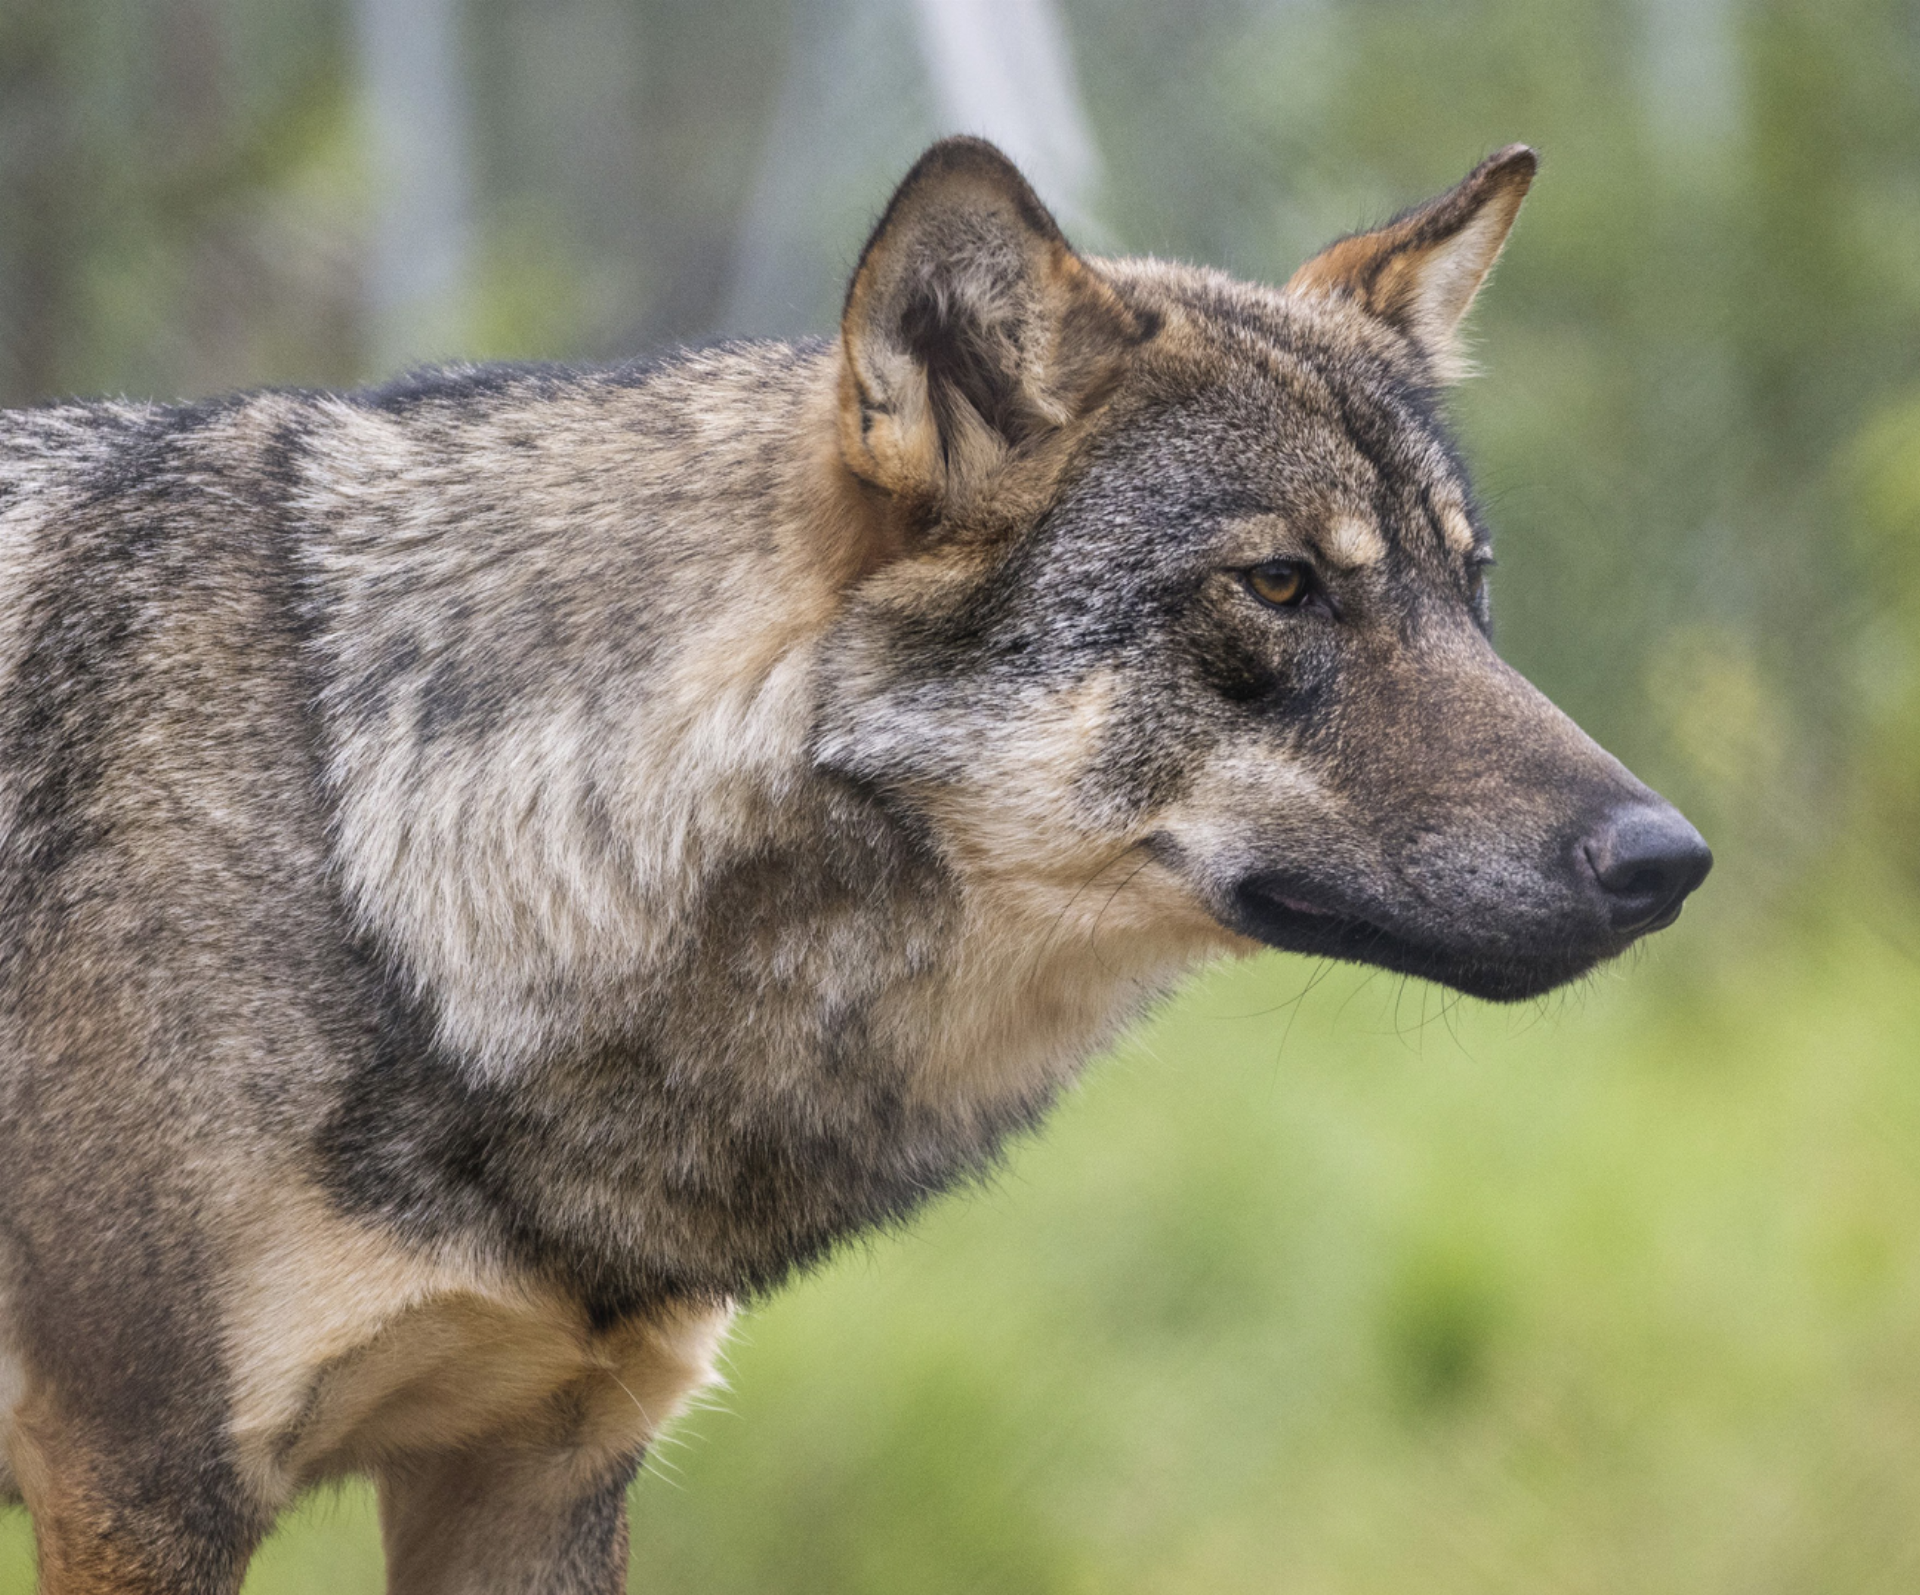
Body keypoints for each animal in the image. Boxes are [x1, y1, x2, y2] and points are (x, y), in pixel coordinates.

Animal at [0, 136, 1708, 1592]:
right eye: (1282, 585)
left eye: (1469, 587)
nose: (1670, 858)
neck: (378, 843)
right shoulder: (145, 1489)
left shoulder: (540, 1475)